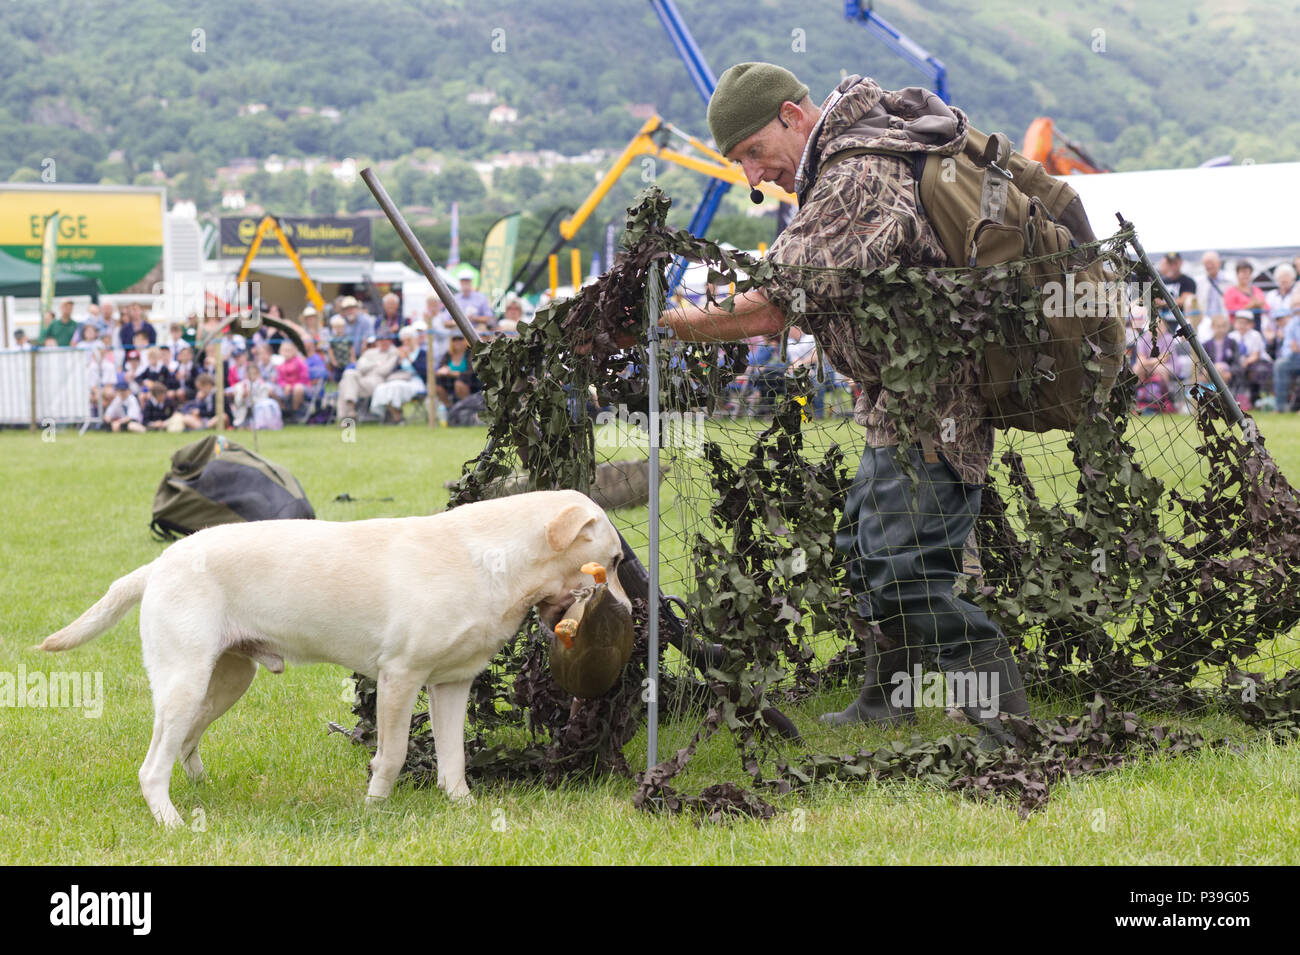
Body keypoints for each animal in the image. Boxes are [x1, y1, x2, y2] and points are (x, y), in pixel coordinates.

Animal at [39, 488, 629, 826]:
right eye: (616, 561)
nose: (629, 612)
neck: (493, 559)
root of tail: (159, 562)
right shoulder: (399, 677)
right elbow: (391, 755)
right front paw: (374, 810)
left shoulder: (450, 684)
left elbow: (454, 759)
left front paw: (464, 809)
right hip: (186, 682)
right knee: (151, 766)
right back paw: (173, 823)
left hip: (224, 683)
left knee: (182, 743)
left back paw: (201, 788)